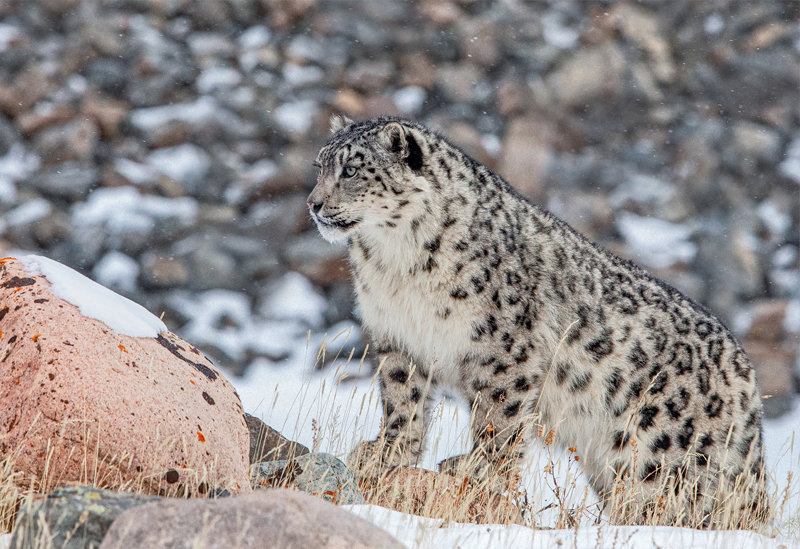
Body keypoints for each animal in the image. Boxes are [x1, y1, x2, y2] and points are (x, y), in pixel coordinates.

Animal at [307, 115, 769, 528]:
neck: (395, 263)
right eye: (319, 166)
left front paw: (475, 468)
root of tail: (745, 378)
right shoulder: (399, 337)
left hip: (661, 455)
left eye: (351, 170)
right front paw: (386, 452)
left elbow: (499, 418)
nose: (313, 204)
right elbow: (403, 401)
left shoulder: (504, 347)